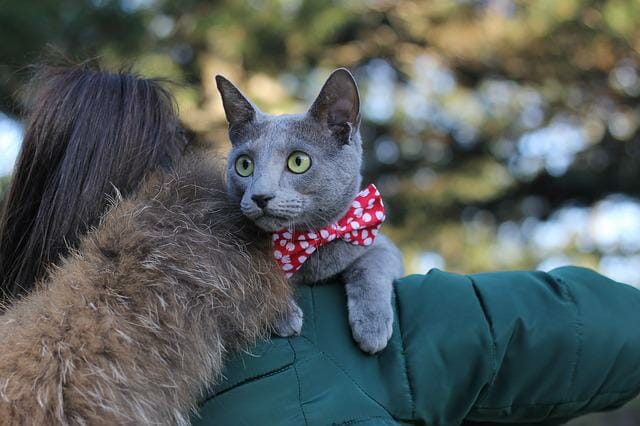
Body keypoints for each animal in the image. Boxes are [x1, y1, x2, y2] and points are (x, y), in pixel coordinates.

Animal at [218, 68, 402, 352]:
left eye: (298, 161)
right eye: (244, 165)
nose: (260, 196)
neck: (307, 242)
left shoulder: (381, 245)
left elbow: (373, 265)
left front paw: (372, 327)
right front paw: (283, 315)